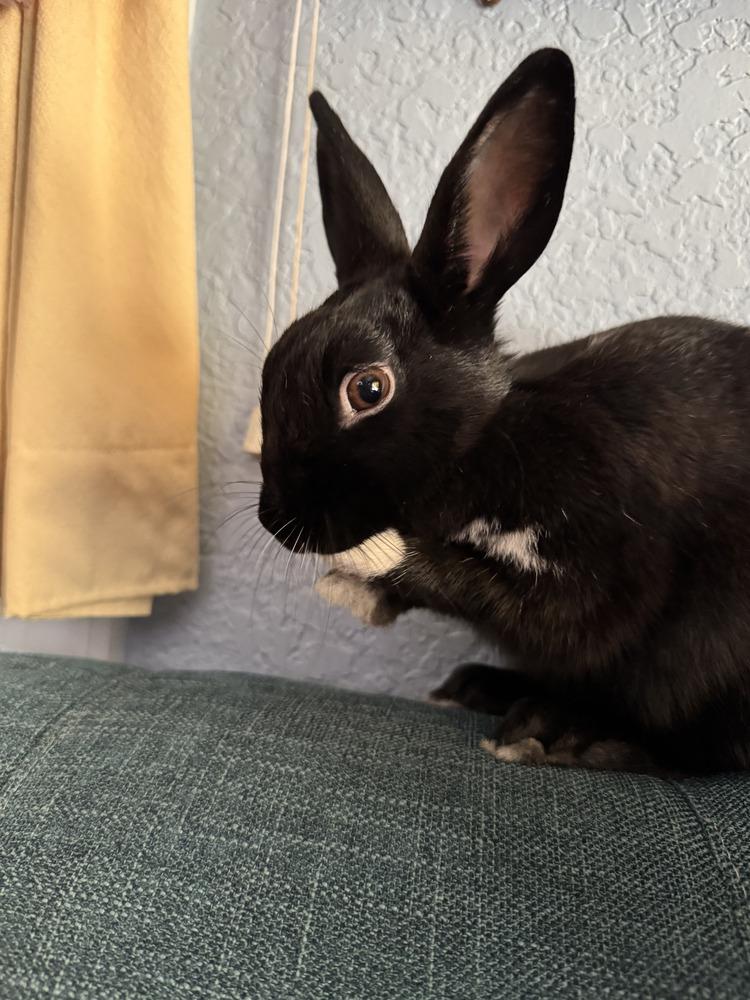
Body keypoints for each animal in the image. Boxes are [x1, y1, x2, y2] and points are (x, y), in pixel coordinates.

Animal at [257, 48, 750, 775]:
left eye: (367, 390)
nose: (275, 520)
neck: (489, 438)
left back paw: (567, 732)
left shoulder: (598, 569)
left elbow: (506, 595)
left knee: (701, 747)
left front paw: (369, 572)